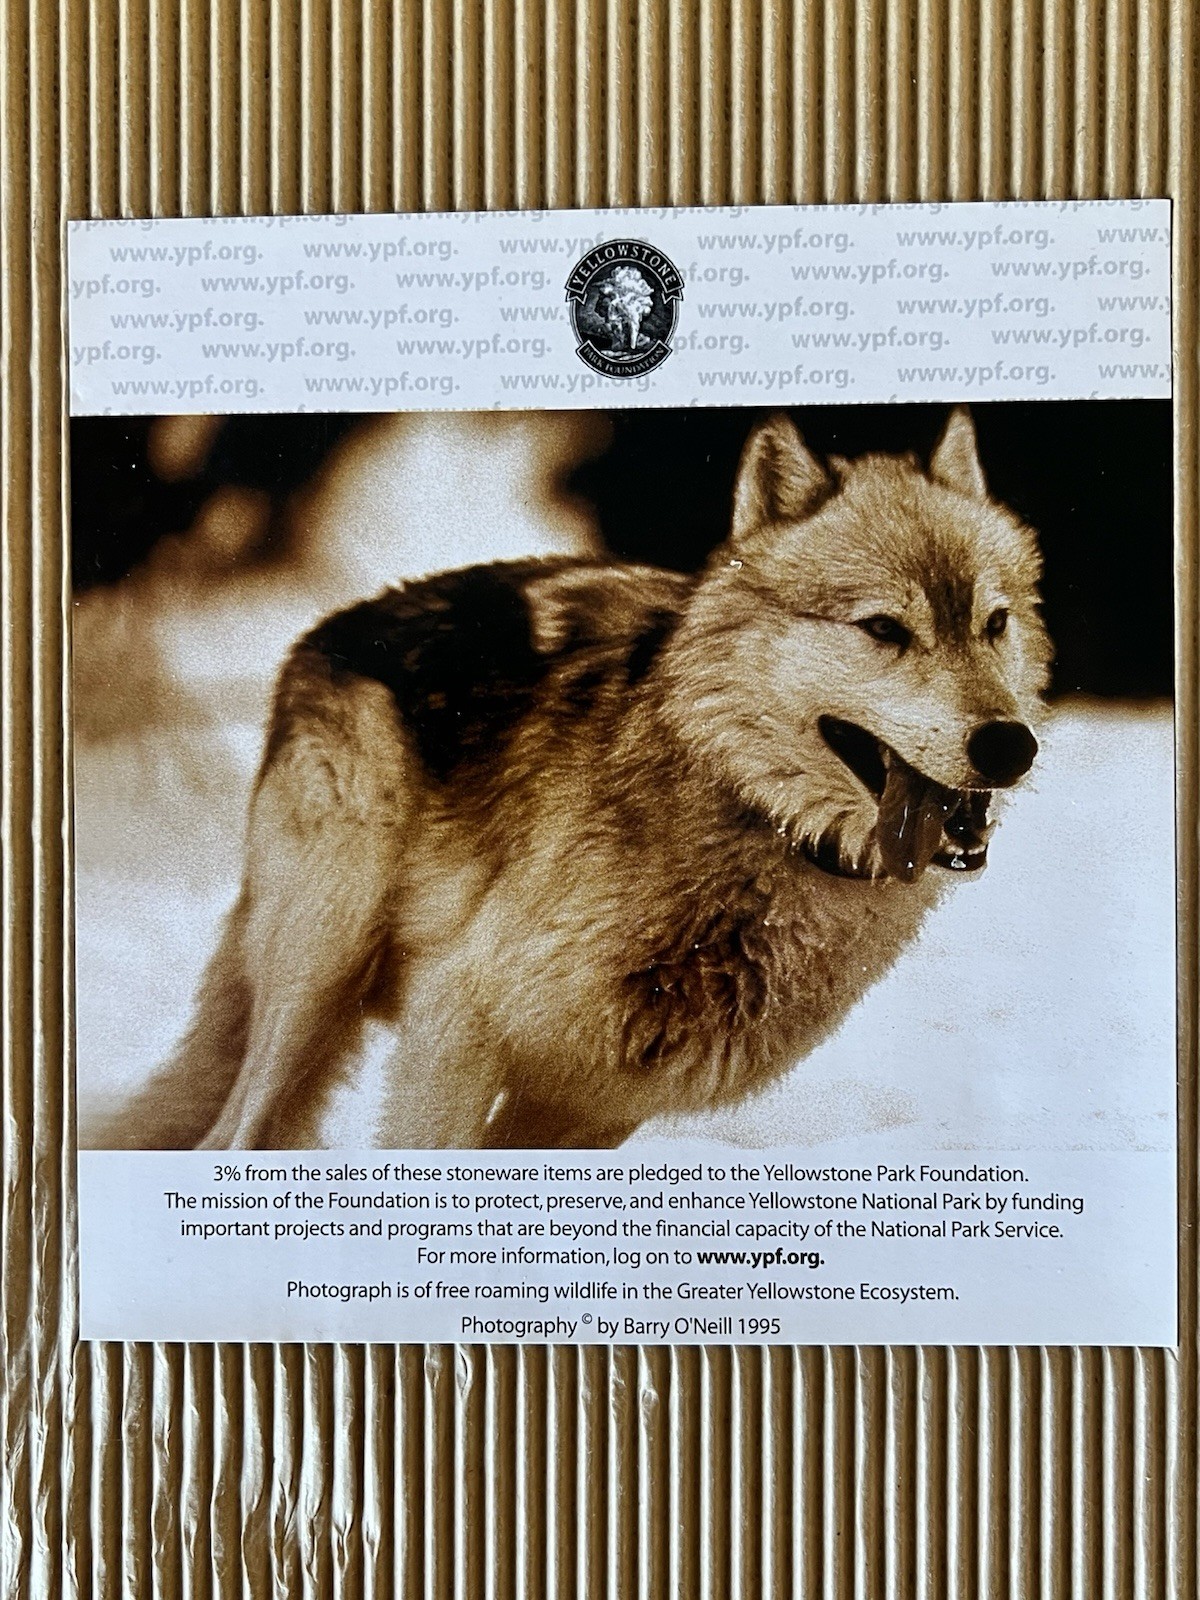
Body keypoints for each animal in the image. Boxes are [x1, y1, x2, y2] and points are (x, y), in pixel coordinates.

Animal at [107, 406, 1051, 1150]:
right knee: (230, 1136)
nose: (1011, 745)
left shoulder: (591, 1104)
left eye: (993, 623)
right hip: (321, 967)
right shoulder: (456, 1023)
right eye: (884, 628)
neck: (748, 822)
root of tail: (329, 630)